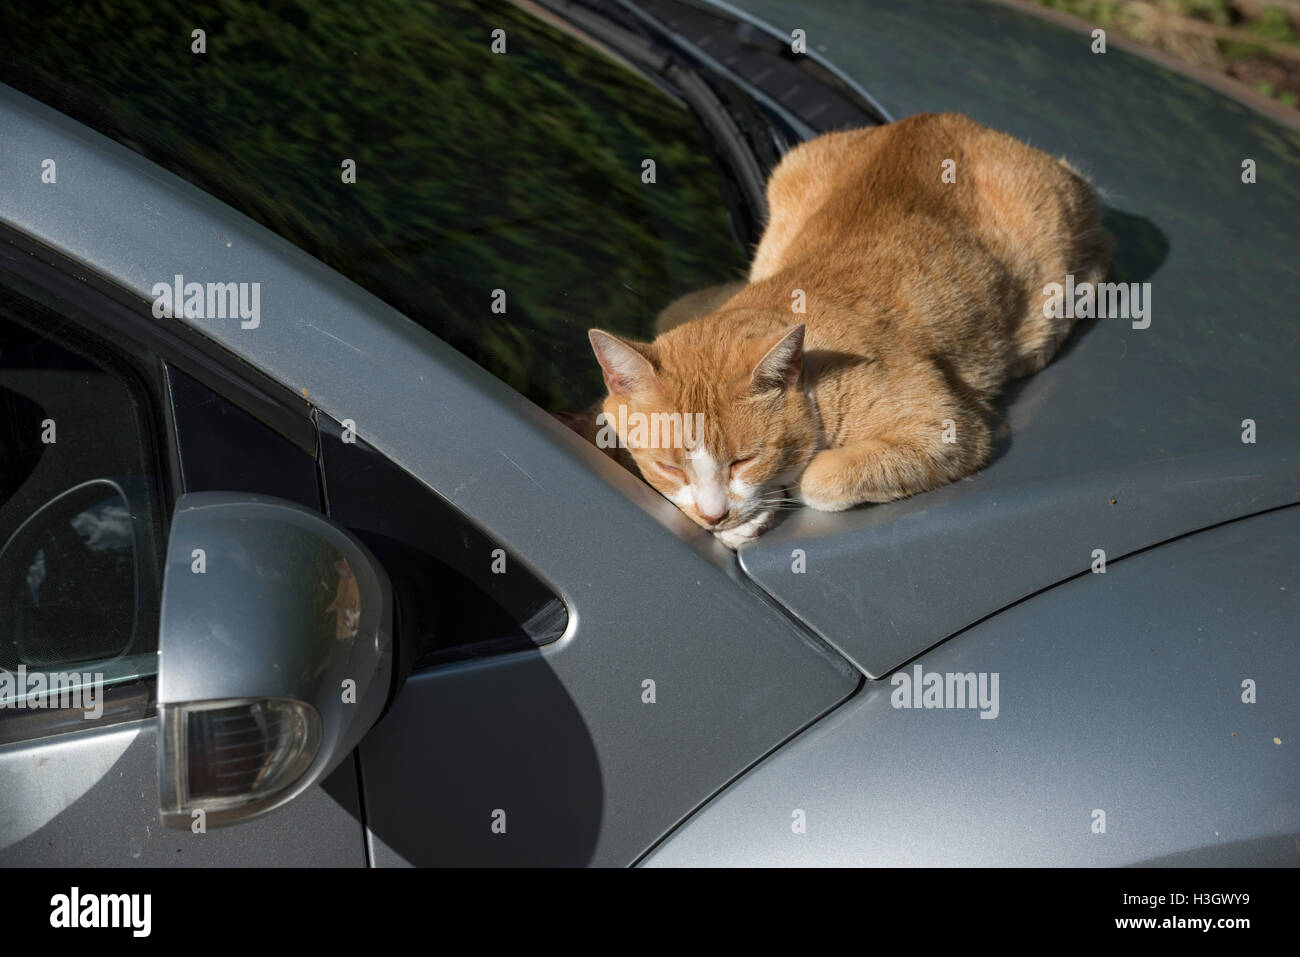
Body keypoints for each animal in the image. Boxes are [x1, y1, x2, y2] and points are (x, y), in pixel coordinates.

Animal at [587, 111, 1107, 546]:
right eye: (668, 468)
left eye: (744, 460)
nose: (714, 515)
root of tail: (939, 117)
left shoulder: (950, 426)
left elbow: (820, 477)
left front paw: (781, 493)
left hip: (1059, 248)